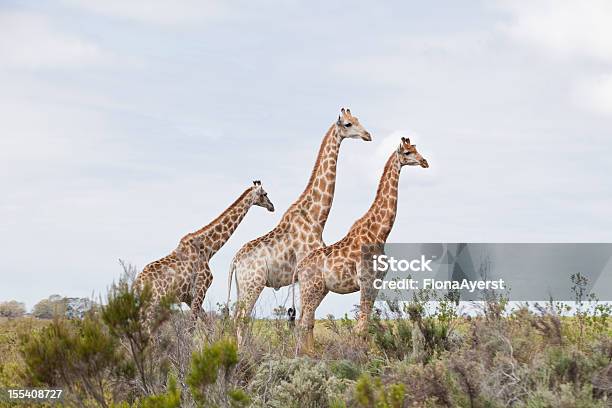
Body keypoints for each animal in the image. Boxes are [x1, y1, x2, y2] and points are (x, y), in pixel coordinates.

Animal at [137, 180, 278, 320]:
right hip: (153, 304)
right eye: (265, 194)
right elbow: (192, 324)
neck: (208, 249)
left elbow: (206, 322)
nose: (272, 206)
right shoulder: (200, 289)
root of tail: (137, 284)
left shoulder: (188, 297)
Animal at [228, 107, 370, 338]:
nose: (368, 135)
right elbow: (306, 319)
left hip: (243, 287)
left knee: (236, 318)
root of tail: (234, 261)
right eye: (348, 124)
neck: (317, 218)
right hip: (253, 285)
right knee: (241, 319)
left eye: (357, 119)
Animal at [294, 137, 428, 350]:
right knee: (303, 322)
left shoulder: (376, 281)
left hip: (319, 289)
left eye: (416, 149)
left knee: (305, 321)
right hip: (311, 288)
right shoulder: (365, 279)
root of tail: (299, 268)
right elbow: (362, 326)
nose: (424, 162)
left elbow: (365, 323)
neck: (380, 234)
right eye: (407, 152)